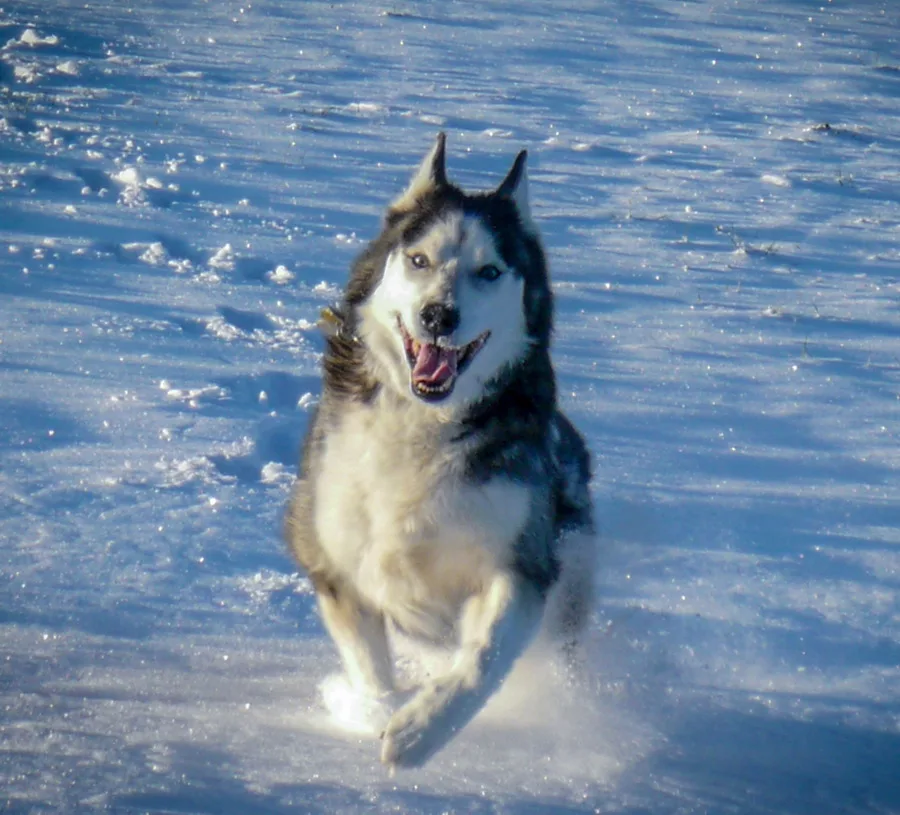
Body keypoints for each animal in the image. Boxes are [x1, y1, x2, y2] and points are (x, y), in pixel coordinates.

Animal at [288, 134, 596, 772]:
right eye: (418, 260)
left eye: (490, 271)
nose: (438, 315)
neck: (423, 422)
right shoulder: (332, 557)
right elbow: (371, 665)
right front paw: (379, 710)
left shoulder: (522, 565)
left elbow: (481, 661)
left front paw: (419, 732)